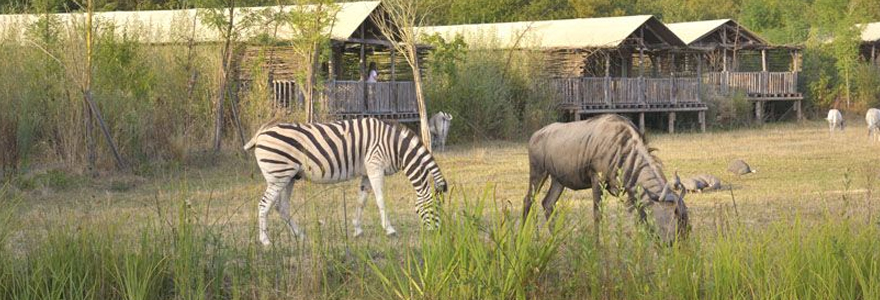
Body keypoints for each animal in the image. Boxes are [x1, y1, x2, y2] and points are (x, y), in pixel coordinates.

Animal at [244, 117, 446, 246]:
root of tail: (261, 132)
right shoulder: (375, 166)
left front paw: (357, 230)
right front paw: (389, 230)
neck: (394, 145)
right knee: (264, 205)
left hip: (289, 177)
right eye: (435, 208)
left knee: (282, 207)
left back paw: (300, 235)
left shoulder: (367, 172)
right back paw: (265, 241)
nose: (438, 234)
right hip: (278, 176)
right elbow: (380, 199)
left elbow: (361, 201)